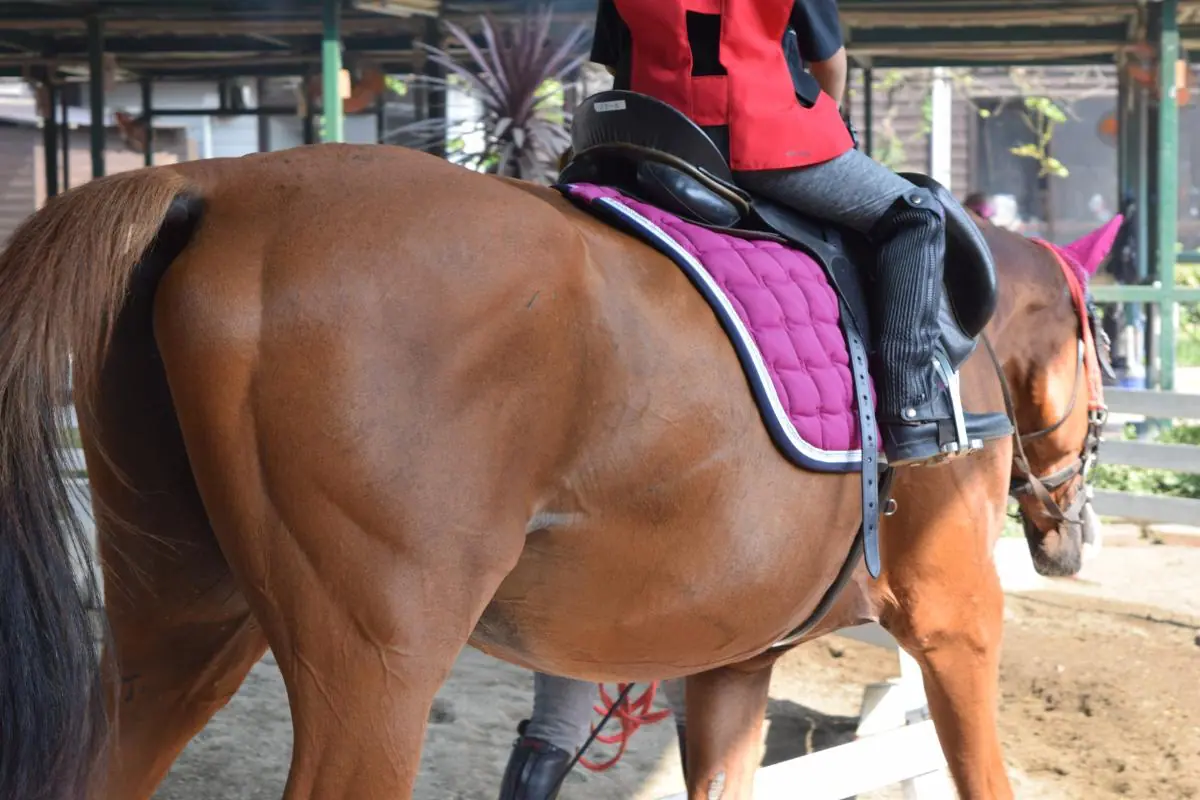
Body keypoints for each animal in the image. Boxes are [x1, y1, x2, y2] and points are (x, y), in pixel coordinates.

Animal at [0, 134, 1111, 800]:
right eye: (1100, 343)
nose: (1071, 540)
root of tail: (221, 185)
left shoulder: (730, 663)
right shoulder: (956, 620)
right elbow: (983, 770)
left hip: (181, 622)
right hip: (375, 665)